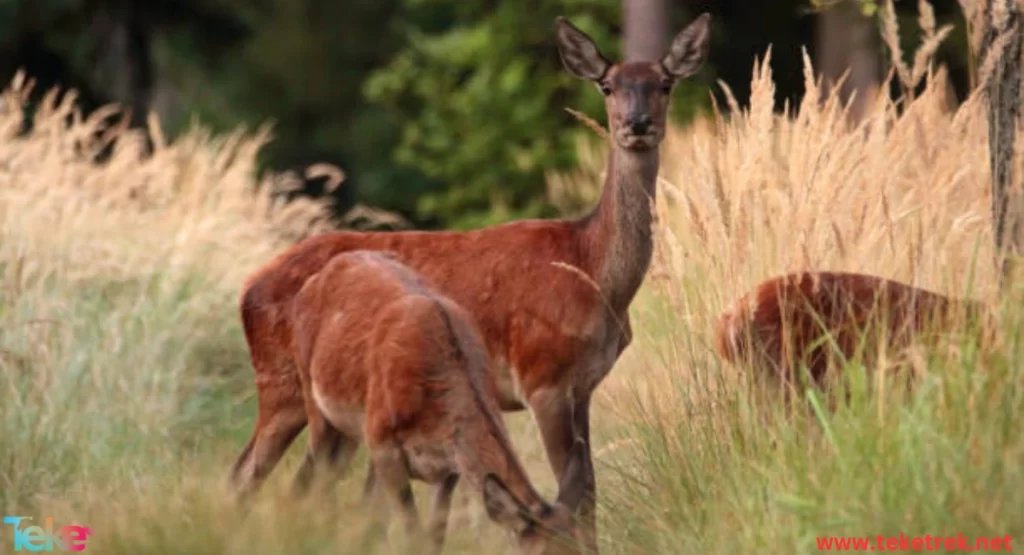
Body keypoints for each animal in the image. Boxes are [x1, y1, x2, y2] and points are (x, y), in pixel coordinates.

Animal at [292, 251, 589, 555]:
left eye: (586, 547)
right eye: (542, 553)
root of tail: (313, 280)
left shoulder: (449, 464)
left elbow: (434, 537)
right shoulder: (383, 443)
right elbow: (412, 534)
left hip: (351, 434)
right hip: (314, 397)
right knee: (311, 478)